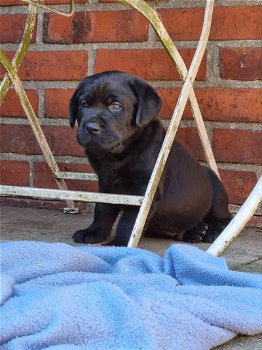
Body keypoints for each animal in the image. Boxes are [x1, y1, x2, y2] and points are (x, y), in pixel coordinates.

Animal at [68, 70, 230, 246]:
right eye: (84, 104)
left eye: (115, 106)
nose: (91, 128)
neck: (116, 155)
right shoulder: (106, 184)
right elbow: (103, 209)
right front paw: (94, 232)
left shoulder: (143, 190)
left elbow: (129, 221)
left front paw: (119, 243)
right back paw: (196, 231)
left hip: (216, 194)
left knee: (225, 217)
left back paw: (213, 231)